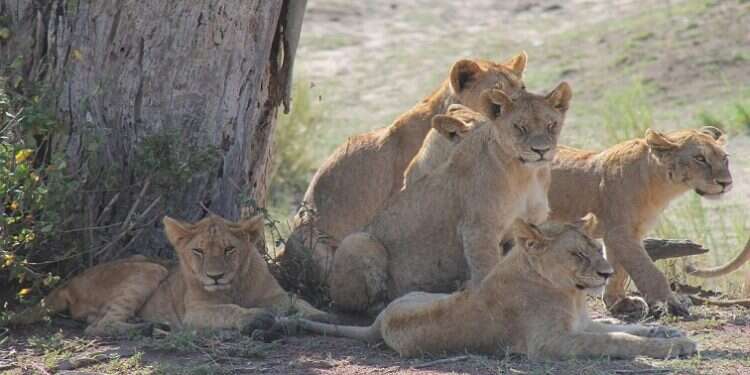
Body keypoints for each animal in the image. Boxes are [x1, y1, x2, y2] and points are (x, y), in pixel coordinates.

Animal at [9, 216, 334, 336]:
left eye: (229, 249)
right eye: (198, 251)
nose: (215, 277)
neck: (235, 284)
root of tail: (69, 282)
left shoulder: (275, 295)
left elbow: (297, 301)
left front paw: (321, 315)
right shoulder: (196, 312)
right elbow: (229, 310)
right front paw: (255, 318)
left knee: (96, 322)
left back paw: (147, 325)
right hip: (150, 268)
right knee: (97, 327)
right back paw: (145, 329)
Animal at [284, 217, 700, 362]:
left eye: (598, 248)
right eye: (577, 254)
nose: (607, 271)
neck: (569, 293)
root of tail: (380, 321)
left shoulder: (580, 324)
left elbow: (622, 328)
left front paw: (666, 332)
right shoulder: (550, 344)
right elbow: (618, 341)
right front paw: (672, 347)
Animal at [328, 83, 568, 314]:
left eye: (551, 125)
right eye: (520, 127)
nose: (541, 150)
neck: (528, 175)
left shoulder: (521, 229)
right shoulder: (478, 229)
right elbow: (487, 270)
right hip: (359, 241)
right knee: (354, 304)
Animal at [548, 127, 732, 318]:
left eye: (725, 158)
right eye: (700, 158)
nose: (726, 183)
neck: (660, 185)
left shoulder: (626, 233)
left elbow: (617, 270)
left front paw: (619, 302)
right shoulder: (620, 233)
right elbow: (649, 272)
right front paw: (672, 304)